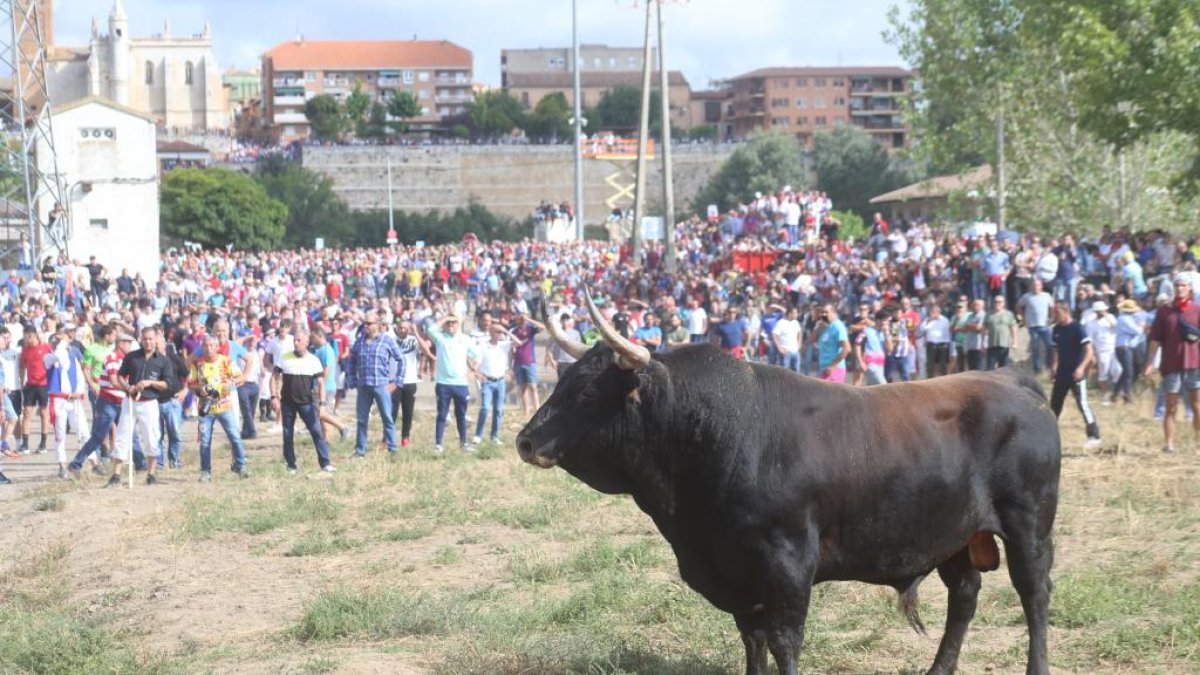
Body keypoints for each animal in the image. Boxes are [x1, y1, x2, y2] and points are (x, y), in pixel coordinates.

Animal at [516, 343, 1060, 667]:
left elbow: (784, 639)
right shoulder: (738, 575)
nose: (525, 440)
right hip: (955, 536)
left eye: (587, 393)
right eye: (561, 381)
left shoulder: (786, 563)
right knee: (963, 598)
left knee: (1034, 596)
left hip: (1029, 524)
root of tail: (1012, 378)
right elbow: (752, 639)